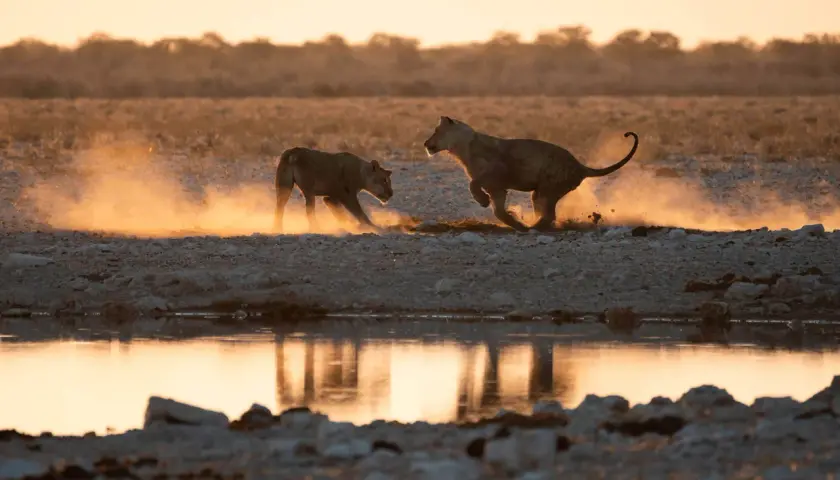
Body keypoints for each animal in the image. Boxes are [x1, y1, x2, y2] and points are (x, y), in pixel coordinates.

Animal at [422, 116, 639, 232]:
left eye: (436, 131)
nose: (425, 143)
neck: (462, 149)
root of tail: (580, 166)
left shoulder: (497, 171)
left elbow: (473, 184)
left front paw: (482, 201)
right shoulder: (497, 188)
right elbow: (498, 211)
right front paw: (515, 223)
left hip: (547, 189)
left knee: (549, 214)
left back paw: (534, 227)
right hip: (539, 194)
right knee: (545, 212)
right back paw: (531, 225)